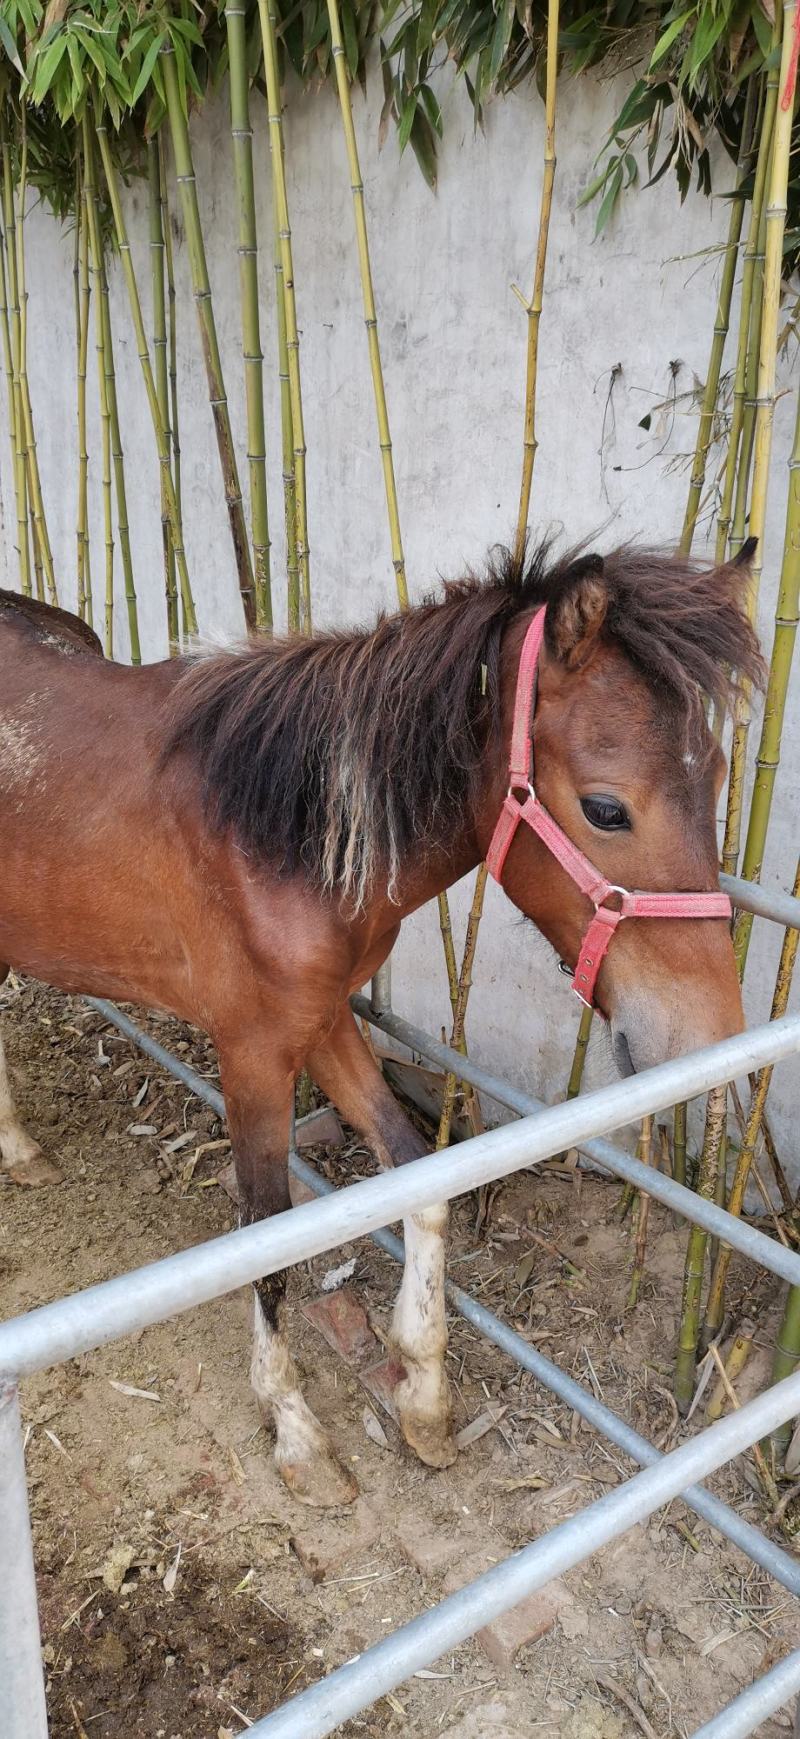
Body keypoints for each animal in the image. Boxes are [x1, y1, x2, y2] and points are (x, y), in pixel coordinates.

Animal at [0, 540, 763, 1506]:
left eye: (720, 783)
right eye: (606, 807)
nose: (712, 1045)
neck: (285, 830)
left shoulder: (326, 1020)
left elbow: (417, 1178)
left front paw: (424, 1398)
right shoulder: (254, 1053)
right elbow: (266, 1238)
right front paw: (296, 1431)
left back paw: (20, 1149)